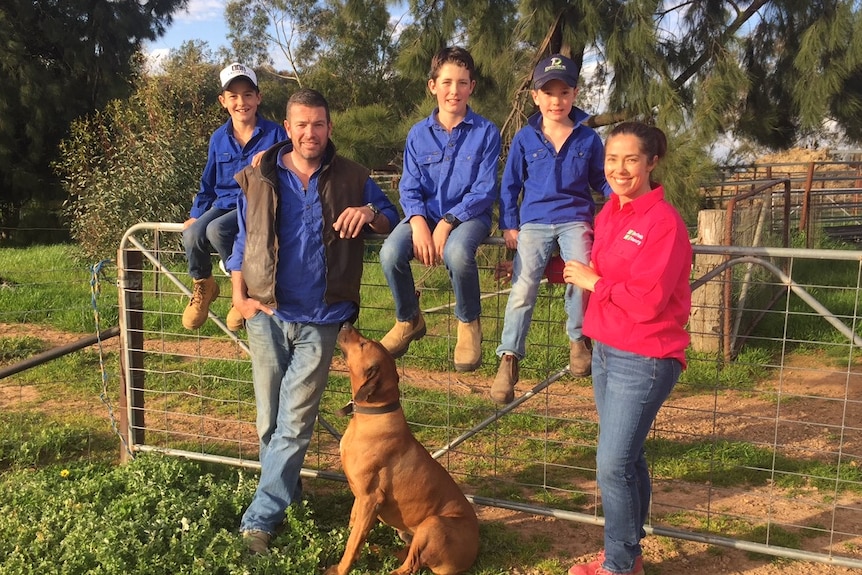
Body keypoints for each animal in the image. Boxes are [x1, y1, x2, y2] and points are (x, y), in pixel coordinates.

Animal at [326, 324, 482, 575]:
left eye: (363, 344)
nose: (347, 324)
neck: (374, 413)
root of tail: (474, 551)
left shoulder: (370, 499)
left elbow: (352, 543)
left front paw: (340, 569)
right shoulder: (359, 496)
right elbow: (353, 529)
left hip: (433, 523)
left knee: (409, 566)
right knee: (403, 555)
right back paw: (377, 550)